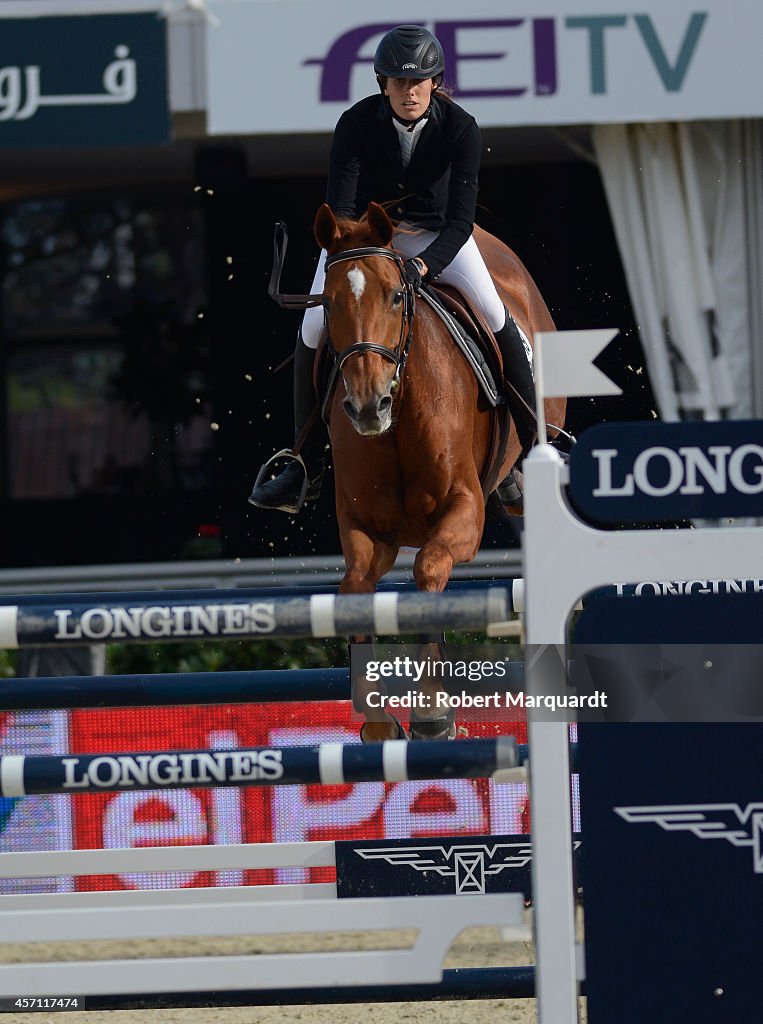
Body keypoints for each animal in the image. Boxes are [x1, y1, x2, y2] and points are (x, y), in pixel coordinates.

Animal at [274, 201, 561, 745]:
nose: (368, 406)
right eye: (329, 304)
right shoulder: (368, 531)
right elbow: (354, 590)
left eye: (394, 296)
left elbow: (428, 571)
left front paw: (432, 710)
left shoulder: (463, 511)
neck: (401, 411)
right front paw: (378, 720)